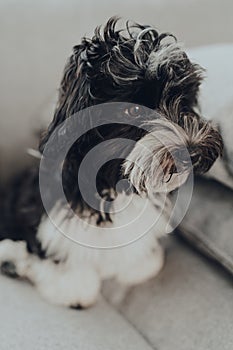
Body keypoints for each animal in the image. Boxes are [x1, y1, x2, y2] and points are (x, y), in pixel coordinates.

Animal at [0, 17, 222, 308]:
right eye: (134, 110)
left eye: (183, 98)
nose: (193, 152)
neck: (113, 182)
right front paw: (72, 286)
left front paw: (139, 265)